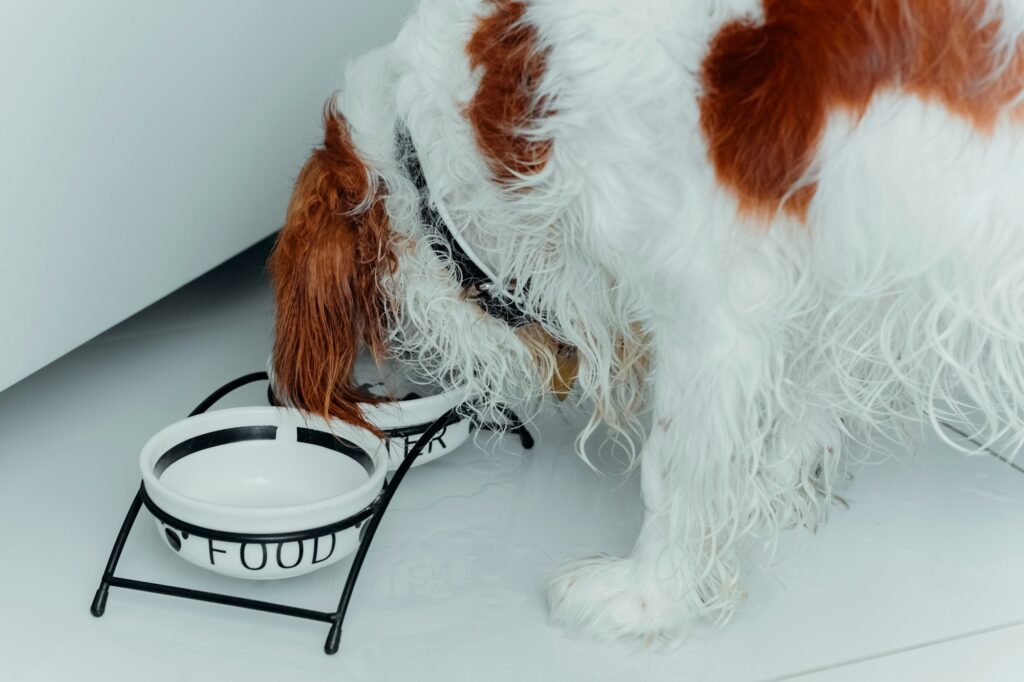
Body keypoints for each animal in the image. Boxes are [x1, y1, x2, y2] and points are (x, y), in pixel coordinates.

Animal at [268, 0, 1024, 638]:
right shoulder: (817, 262)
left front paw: (647, 597)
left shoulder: (708, 312)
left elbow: (674, 467)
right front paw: (776, 490)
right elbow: (802, 392)